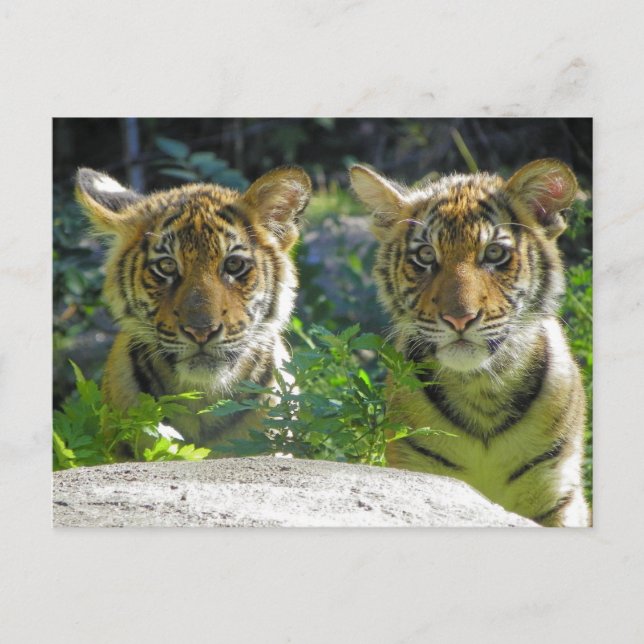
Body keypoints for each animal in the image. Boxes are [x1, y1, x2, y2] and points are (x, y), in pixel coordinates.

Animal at [350, 159, 590, 527]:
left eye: (494, 253)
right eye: (425, 255)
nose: (459, 318)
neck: (481, 390)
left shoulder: (558, 494)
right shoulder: (418, 473)